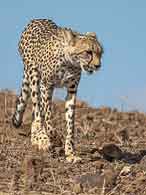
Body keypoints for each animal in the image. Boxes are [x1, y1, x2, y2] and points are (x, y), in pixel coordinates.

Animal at [12, 18, 103, 162]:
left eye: (100, 53)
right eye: (88, 52)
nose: (98, 65)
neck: (70, 63)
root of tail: (36, 19)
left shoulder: (72, 91)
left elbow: (70, 124)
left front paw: (70, 153)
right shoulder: (46, 86)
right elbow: (48, 117)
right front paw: (54, 138)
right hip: (33, 75)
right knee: (36, 111)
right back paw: (41, 138)